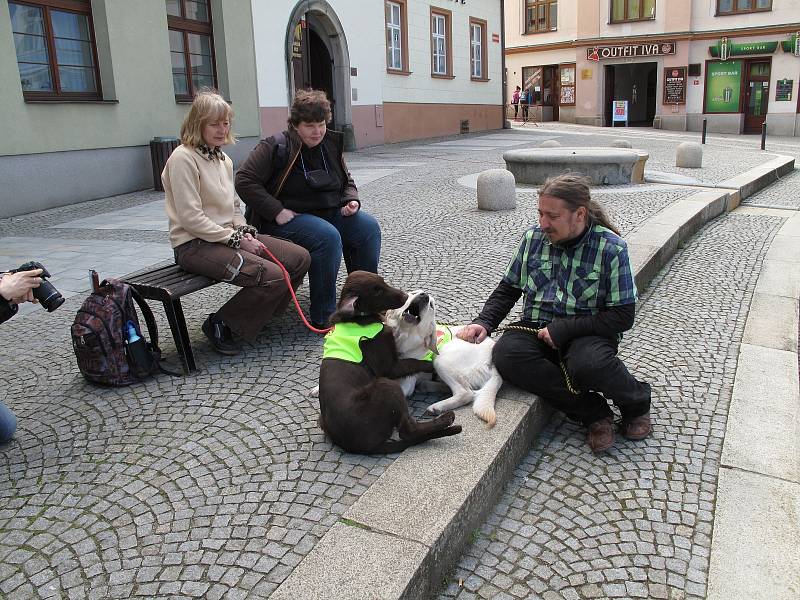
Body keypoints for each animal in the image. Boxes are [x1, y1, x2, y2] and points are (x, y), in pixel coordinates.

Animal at [316, 272, 460, 454]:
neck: (359, 318)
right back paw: (446, 419)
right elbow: (413, 362)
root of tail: (362, 447)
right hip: (387, 385)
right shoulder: (390, 367)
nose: (407, 295)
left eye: (382, 281)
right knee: (408, 431)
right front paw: (431, 363)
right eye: (377, 291)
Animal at [384, 290, 504, 426]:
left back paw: (437, 406)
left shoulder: (406, 384)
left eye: (431, 305)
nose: (424, 295)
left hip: (440, 359)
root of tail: (493, 359)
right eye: (413, 293)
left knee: (466, 393)